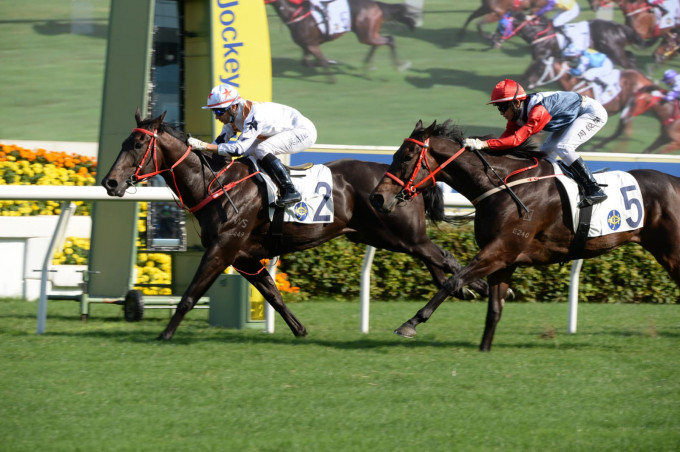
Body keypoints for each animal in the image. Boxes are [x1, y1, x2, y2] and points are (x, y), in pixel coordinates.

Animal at [98, 111, 486, 340]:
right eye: (124, 142)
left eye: (138, 144)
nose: (110, 183)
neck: (215, 184)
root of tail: (408, 180)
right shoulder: (243, 255)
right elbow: (273, 294)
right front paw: (300, 330)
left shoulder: (223, 247)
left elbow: (191, 294)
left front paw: (164, 335)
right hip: (386, 236)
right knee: (435, 259)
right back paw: (468, 288)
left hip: (403, 234)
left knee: (442, 256)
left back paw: (469, 288)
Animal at [264, 0, 414, 81]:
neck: (296, 13)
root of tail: (376, 4)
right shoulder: (307, 45)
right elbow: (307, 62)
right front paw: (330, 62)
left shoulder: (312, 45)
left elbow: (321, 61)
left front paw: (331, 76)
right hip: (368, 34)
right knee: (383, 41)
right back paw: (368, 66)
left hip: (366, 34)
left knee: (390, 40)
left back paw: (398, 66)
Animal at [370, 119, 680, 350]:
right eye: (395, 155)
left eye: (406, 157)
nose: (377, 198)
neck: (505, 186)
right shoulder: (504, 260)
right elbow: (494, 309)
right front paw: (484, 350)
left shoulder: (500, 250)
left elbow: (453, 281)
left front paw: (410, 324)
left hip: (673, 251)